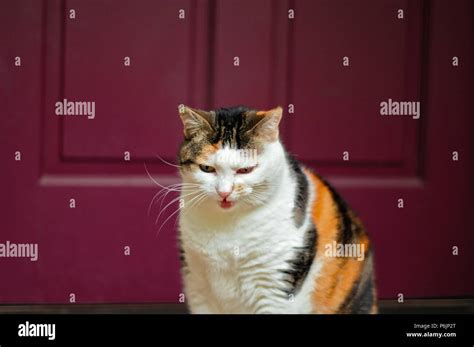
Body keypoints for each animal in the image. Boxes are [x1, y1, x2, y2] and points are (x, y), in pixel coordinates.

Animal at [176, 104, 376, 314]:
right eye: (207, 168)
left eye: (246, 170)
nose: (224, 192)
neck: (226, 226)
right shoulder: (197, 286)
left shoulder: (275, 289)